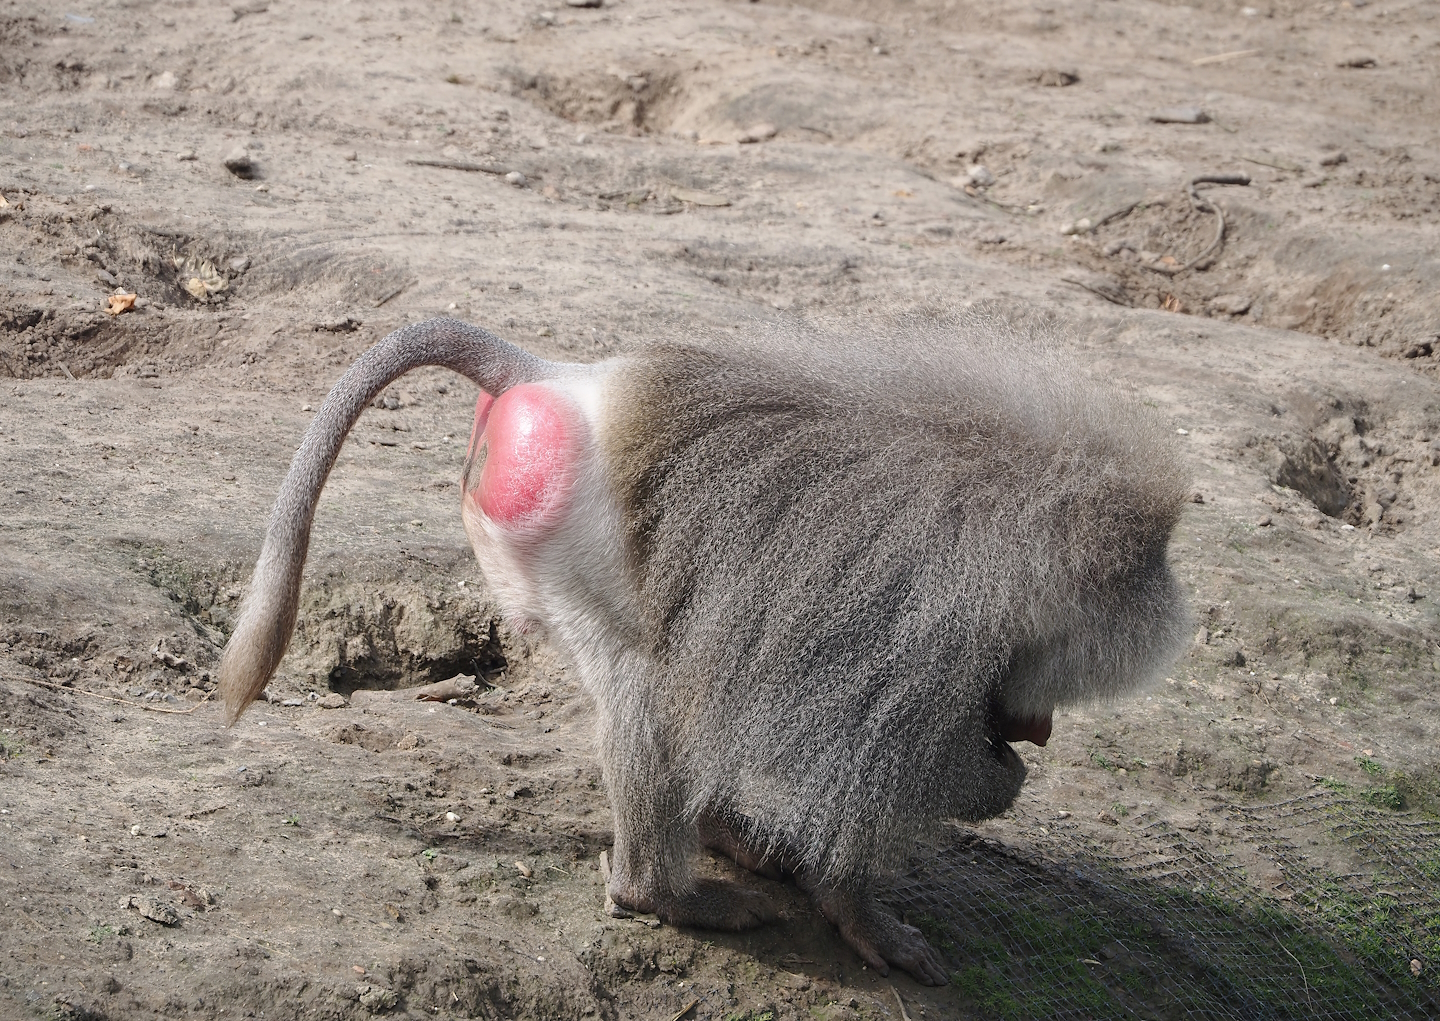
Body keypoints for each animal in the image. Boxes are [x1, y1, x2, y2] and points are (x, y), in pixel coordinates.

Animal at [218, 314, 1190, 986]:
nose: (1040, 729)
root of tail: (559, 379)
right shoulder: (918, 644)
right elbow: (867, 776)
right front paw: (869, 917)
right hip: (566, 547)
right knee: (645, 693)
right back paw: (665, 893)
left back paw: (721, 837)